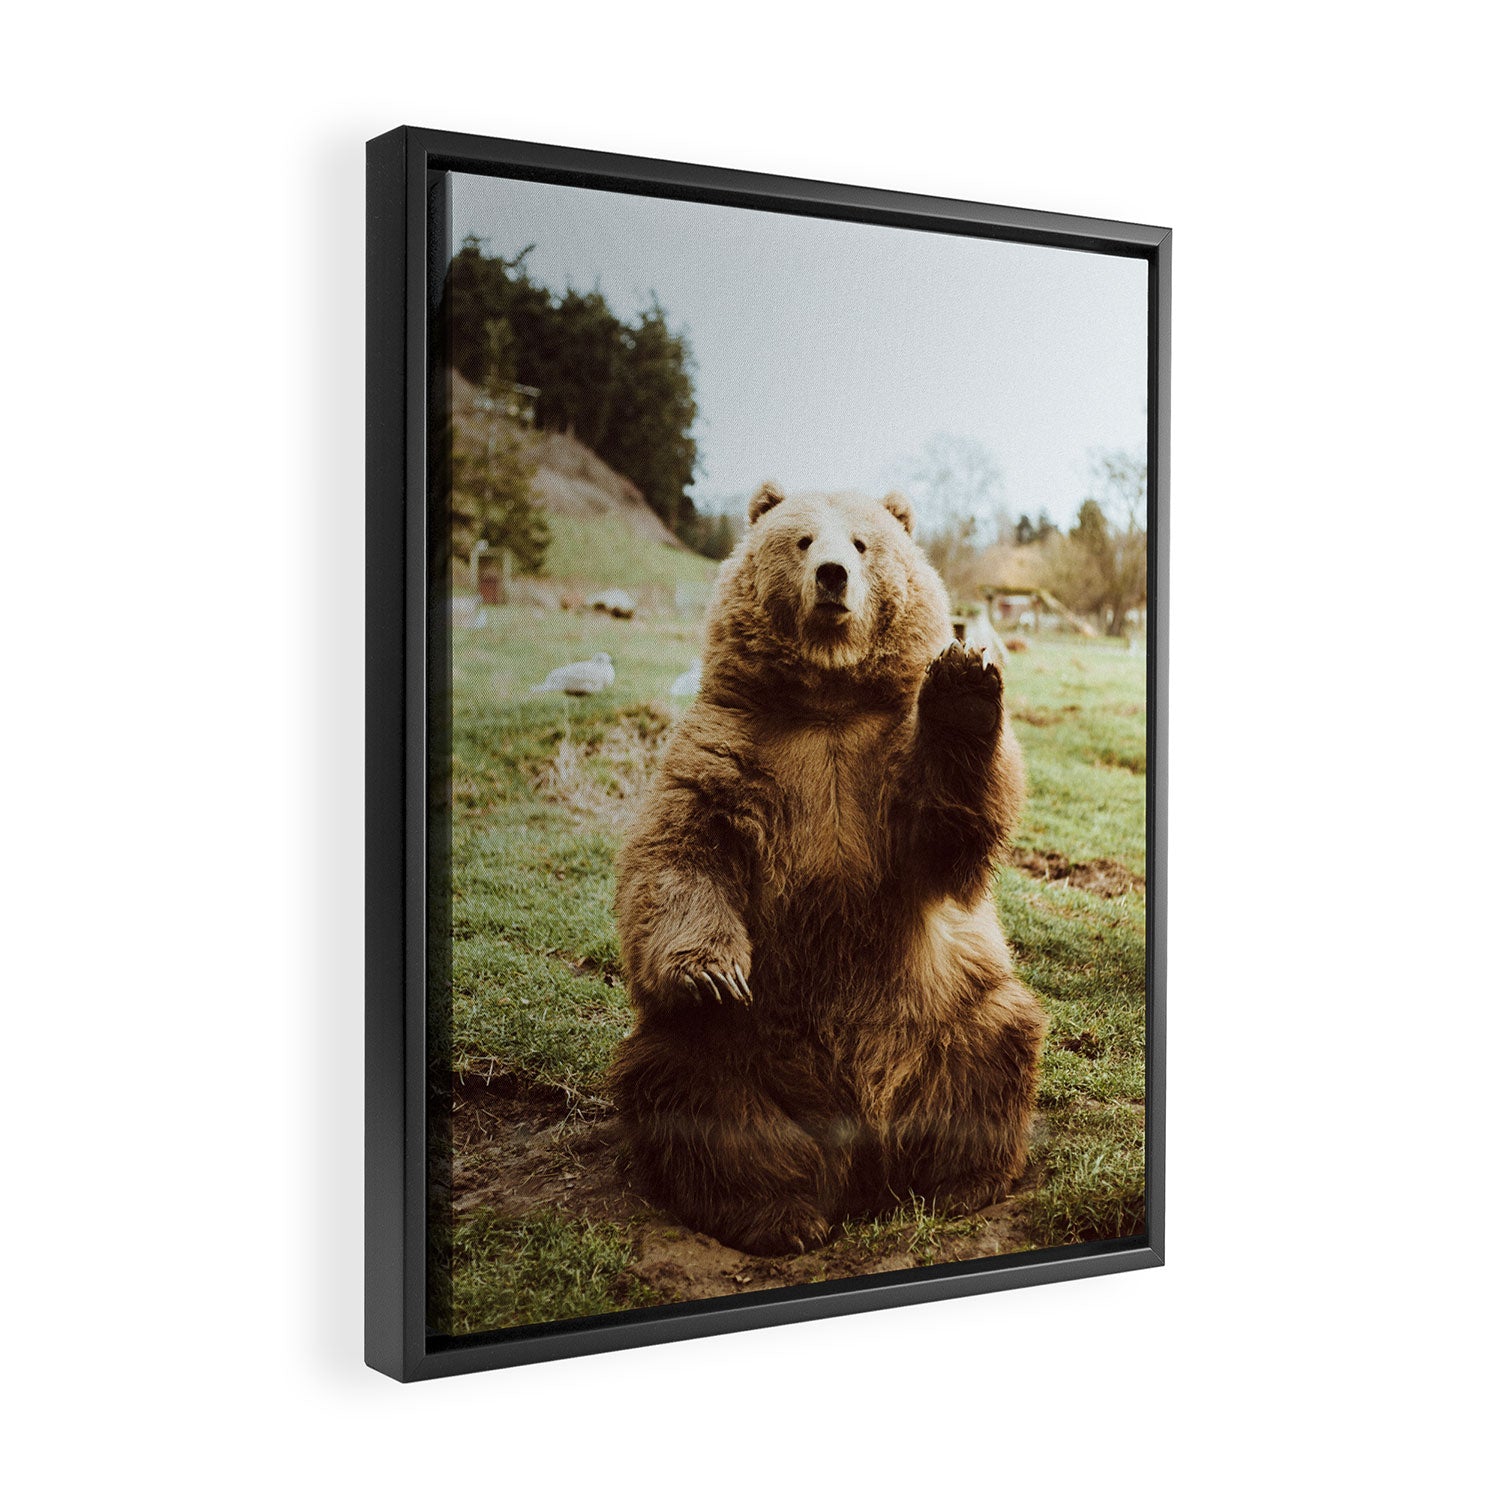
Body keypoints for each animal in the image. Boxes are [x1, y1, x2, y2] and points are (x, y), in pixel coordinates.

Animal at [609, 480, 1046, 1256]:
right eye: (804, 540)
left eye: (864, 544)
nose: (834, 576)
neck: (828, 702)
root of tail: (860, 1145)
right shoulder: (730, 748)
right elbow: (681, 852)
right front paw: (711, 972)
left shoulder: (884, 768)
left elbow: (948, 831)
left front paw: (964, 680)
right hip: (740, 1051)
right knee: (689, 1088)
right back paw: (779, 1214)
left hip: (947, 1010)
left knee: (997, 1042)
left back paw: (958, 1183)